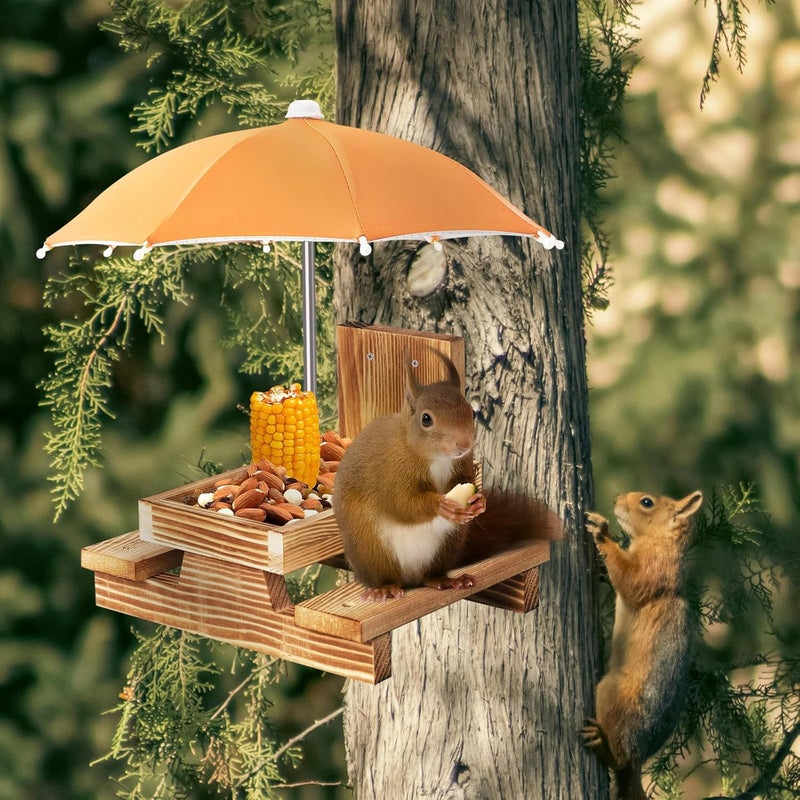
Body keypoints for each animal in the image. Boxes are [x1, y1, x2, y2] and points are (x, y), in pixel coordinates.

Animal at [334, 347, 561, 601]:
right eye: (426, 419)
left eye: (471, 412)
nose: (463, 444)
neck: (437, 458)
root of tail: (410, 578)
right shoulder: (392, 470)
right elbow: (401, 502)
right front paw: (440, 504)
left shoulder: (462, 464)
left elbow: (465, 482)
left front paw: (480, 501)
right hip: (369, 547)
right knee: (383, 573)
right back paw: (383, 589)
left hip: (448, 543)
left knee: (431, 575)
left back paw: (446, 580)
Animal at [582, 490, 703, 800]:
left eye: (647, 502)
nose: (616, 499)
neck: (659, 542)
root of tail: (639, 759)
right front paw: (601, 566)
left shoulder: (653, 571)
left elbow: (630, 580)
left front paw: (602, 532)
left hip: (613, 694)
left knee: (620, 759)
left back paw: (603, 744)